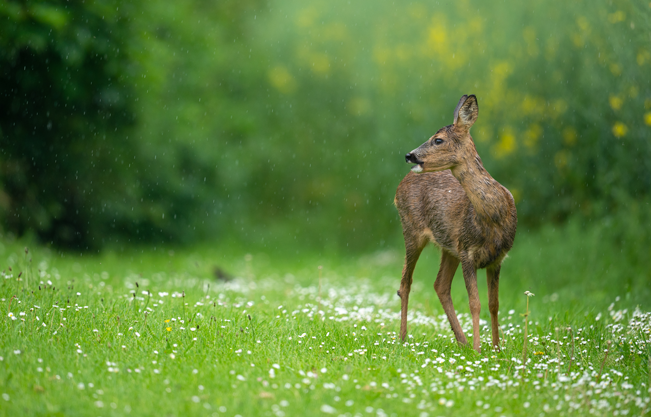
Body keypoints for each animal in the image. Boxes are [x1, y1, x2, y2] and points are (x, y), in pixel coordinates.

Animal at [394, 94, 516, 352]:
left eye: (438, 139)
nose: (410, 155)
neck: (494, 216)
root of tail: (401, 185)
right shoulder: (468, 251)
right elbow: (475, 303)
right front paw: (480, 350)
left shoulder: (497, 258)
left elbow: (494, 304)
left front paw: (496, 349)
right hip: (412, 230)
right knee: (405, 282)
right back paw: (402, 337)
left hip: (449, 247)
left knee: (440, 285)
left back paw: (462, 340)